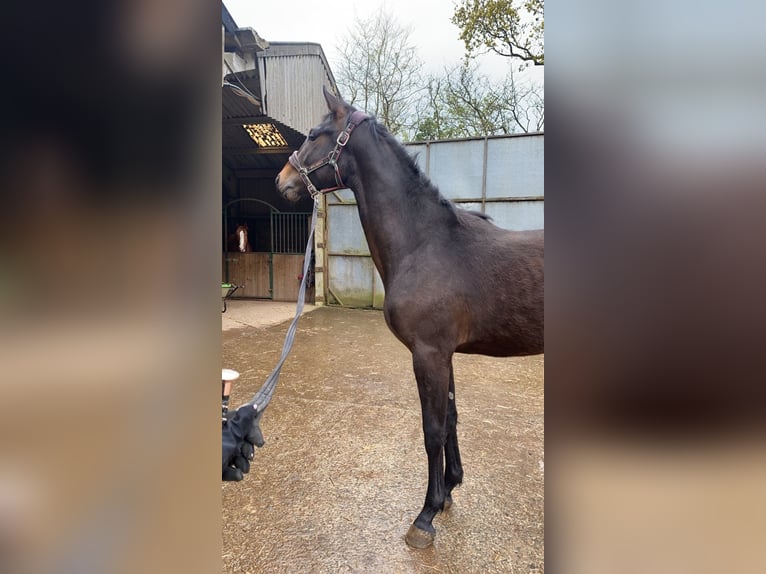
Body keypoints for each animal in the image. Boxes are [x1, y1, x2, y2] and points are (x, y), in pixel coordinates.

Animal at [276, 86, 544, 548]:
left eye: (312, 134)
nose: (282, 180)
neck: (424, 243)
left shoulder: (429, 353)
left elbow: (432, 429)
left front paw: (426, 515)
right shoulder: (444, 354)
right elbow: (451, 418)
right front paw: (450, 488)